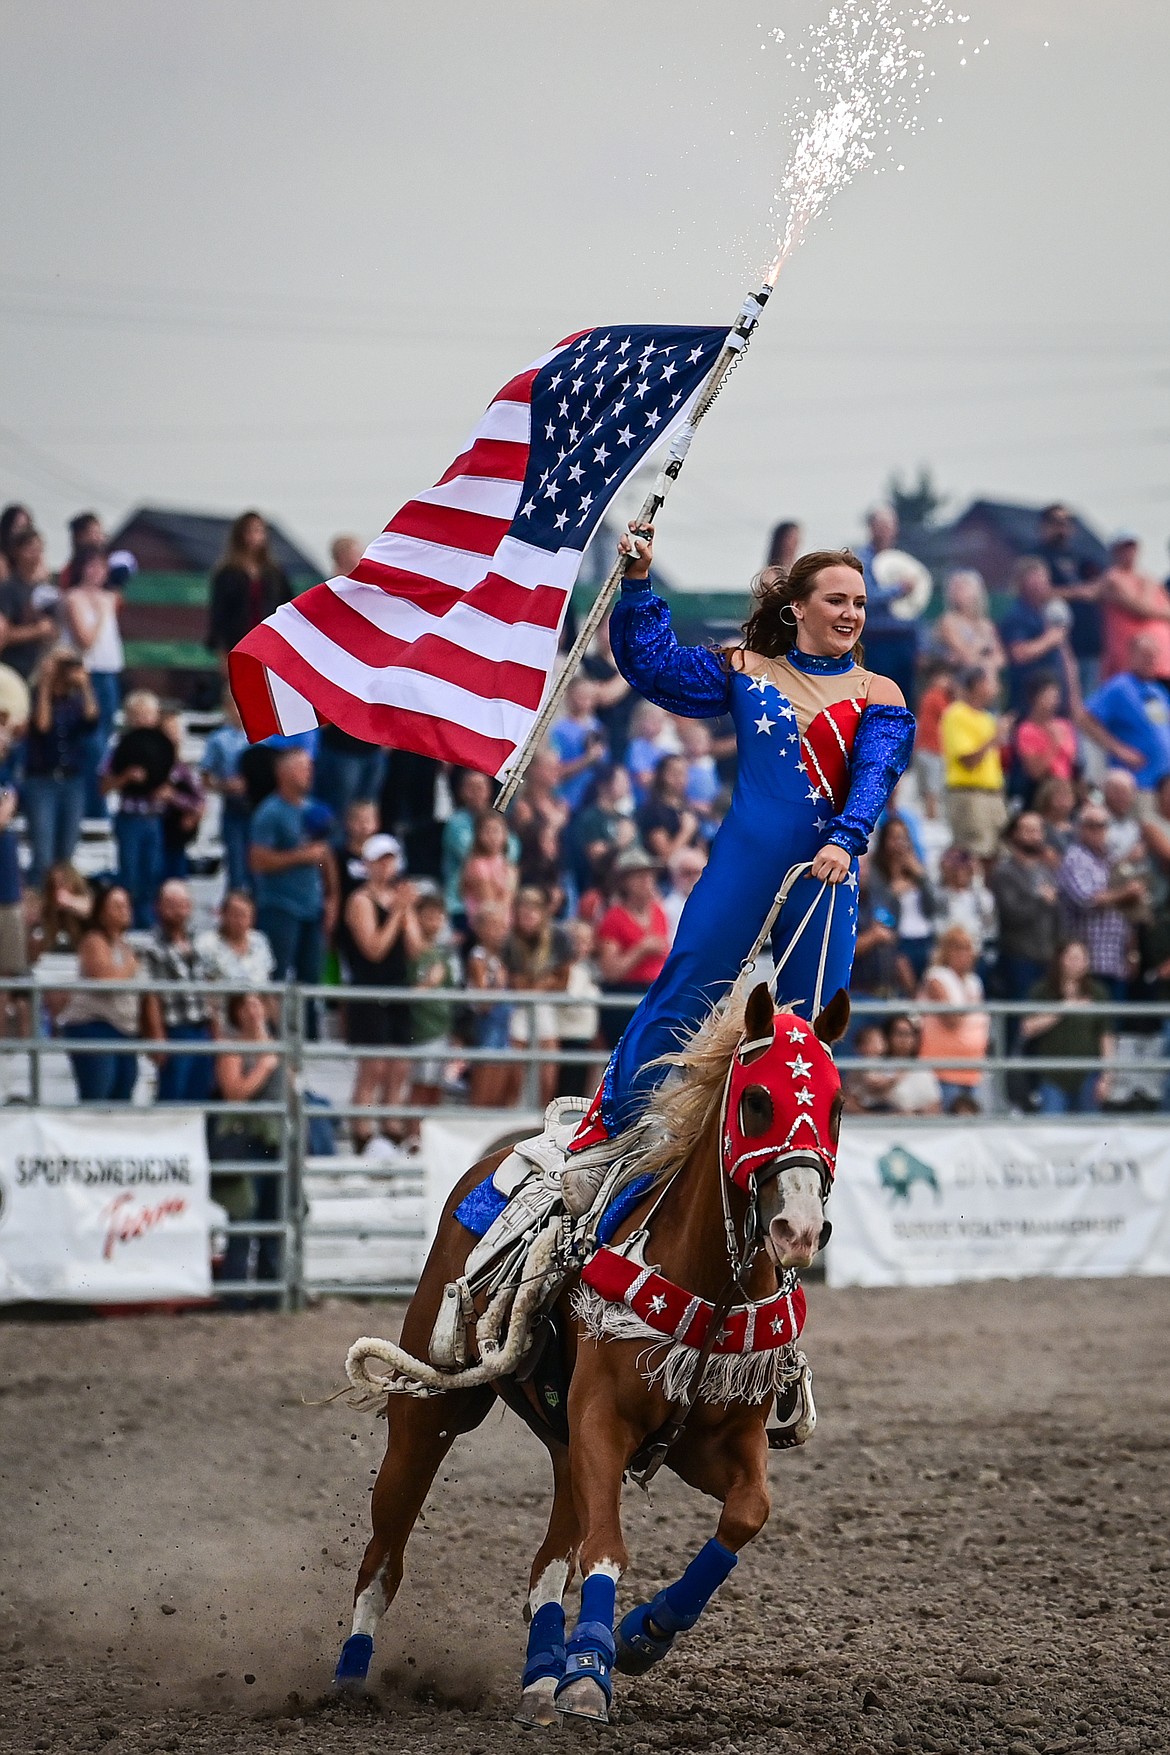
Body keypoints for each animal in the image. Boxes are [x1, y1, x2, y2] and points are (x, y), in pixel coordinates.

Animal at [333, 989, 845, 1726]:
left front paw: (642, 1635)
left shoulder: (719, 1443)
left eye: (835, 1105)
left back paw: (540, 1674)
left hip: (564, 1441)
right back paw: (351, 1676)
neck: (709, 1290)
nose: (799, 1229)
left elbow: (747, 1514)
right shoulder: (604, 1419)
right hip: (436, 1408)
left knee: (546, 1562)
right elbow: (607, 1547)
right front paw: (588, 1675)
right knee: (385, 1552)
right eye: (756, 1100)